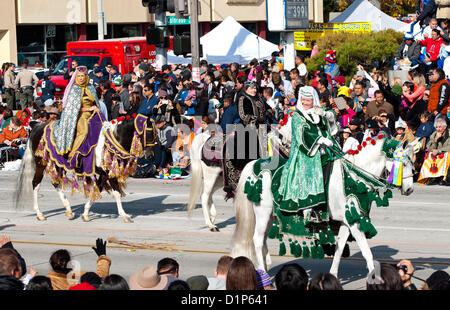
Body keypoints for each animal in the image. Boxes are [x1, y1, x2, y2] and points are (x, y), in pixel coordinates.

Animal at [232, 136, 414, 276]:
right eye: (404, 164)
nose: (410, 189)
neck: (354, 177)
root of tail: (257, 164)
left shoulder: (347, 221)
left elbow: (339, 248)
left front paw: (333, 275)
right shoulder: (355, 223)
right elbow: (367, 253)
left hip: (269, 215)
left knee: (262, 240)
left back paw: (265, 268)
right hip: (263, 211)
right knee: (257, 240)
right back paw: (264, 274)